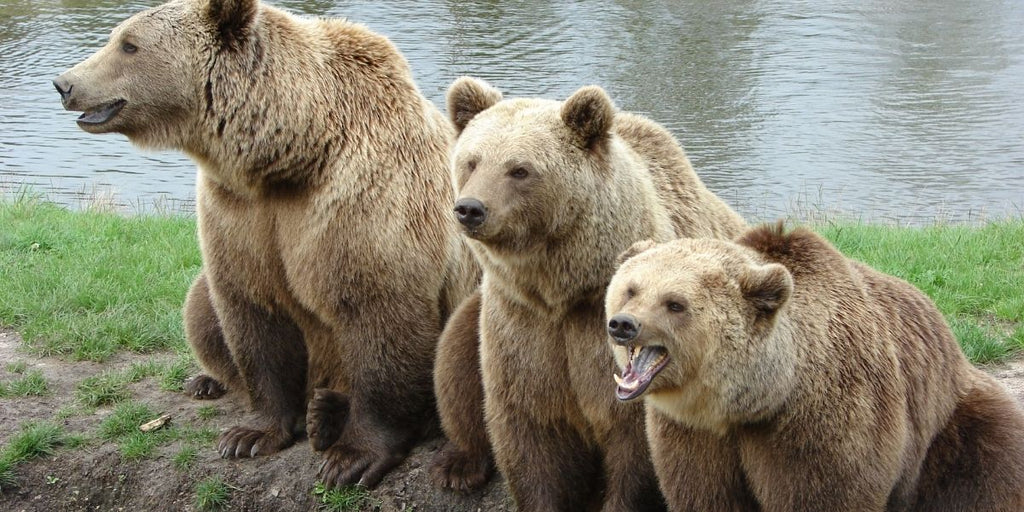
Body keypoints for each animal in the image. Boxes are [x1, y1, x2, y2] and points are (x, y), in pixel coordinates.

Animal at [51, 0, 475, 487]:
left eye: (129, 44)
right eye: (118, 36)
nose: (64, 83)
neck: (290, 156)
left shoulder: (364, 201)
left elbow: (379, 313)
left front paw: (352, 457)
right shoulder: (239, 213)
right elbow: (252, 312)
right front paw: (250, 435)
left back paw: (329, 412)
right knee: (199, 305)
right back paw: (215, 383)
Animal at [432, 75, 745, 507]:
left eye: (520, 169)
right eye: (472, 161)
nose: (470, 208)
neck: (564, 290)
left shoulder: (605, 334)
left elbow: (635, 442)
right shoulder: (522, 322)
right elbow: (529, 430)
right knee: (454, 358)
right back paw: (459, 465)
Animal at [602, 225, 1024, 512]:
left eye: (675, 303)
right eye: (632, 289)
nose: (623, 324)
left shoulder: (825, 418)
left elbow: (824, 492)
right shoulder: (693, 435)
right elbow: (703, 492)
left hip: (950, 425)